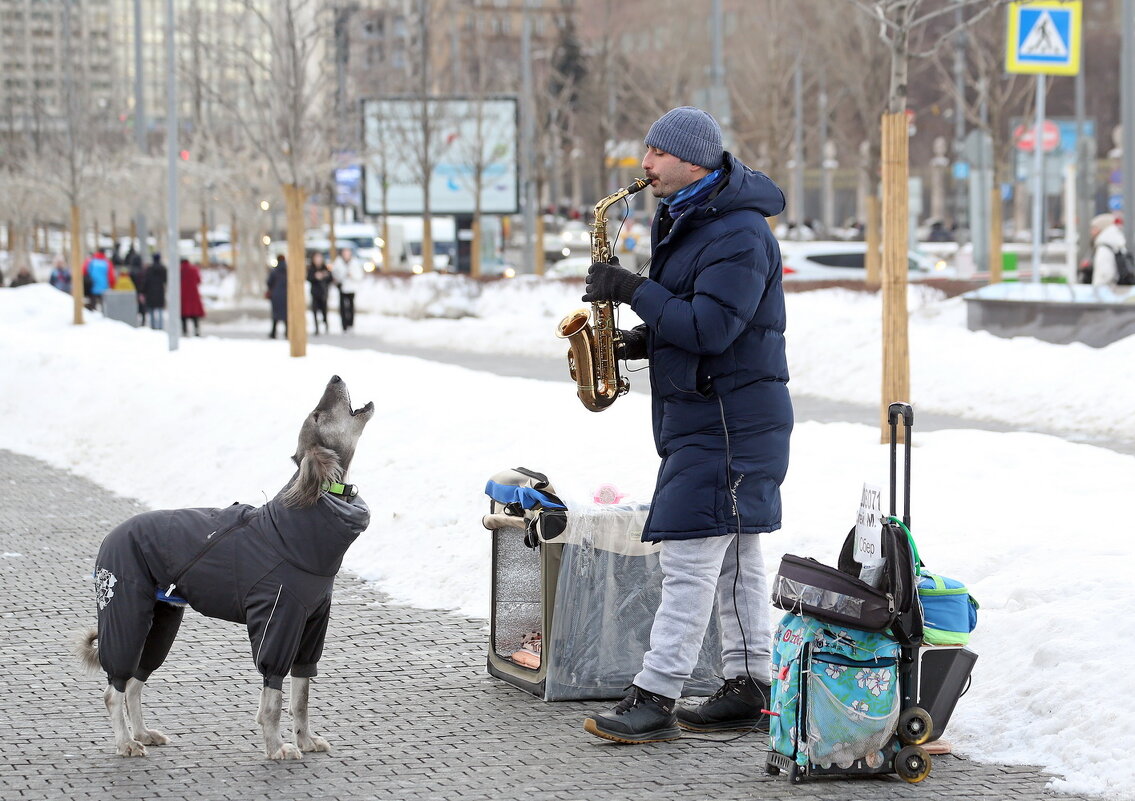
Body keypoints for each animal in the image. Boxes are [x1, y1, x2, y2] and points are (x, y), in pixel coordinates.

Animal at [76, 374, 376, 753]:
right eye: (318, 415)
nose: (335, 377)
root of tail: (110, 535)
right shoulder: (277, 621)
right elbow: (274, 700)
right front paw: (276, 747)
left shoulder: (311, 625)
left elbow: (301, 695)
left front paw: (305, 739)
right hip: (124, 612)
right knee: (114, 689)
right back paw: (126, 742)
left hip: (161, 622)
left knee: (134, 682)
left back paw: (142, 733)